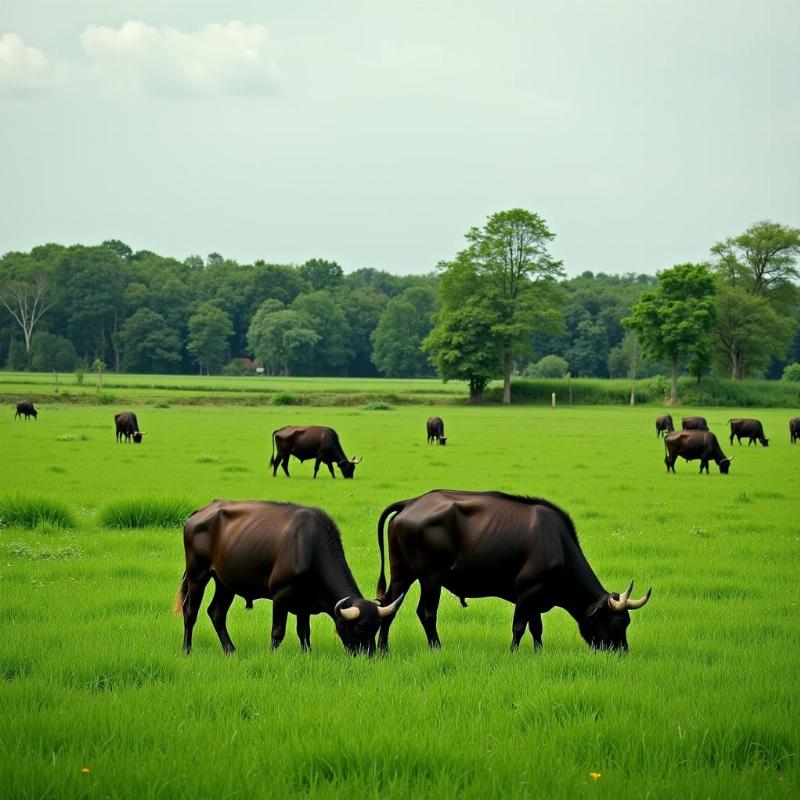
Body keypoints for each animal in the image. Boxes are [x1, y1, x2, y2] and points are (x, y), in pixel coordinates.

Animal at [173, 500, 400, 656]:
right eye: (361, 627)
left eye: (377, 627)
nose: (369, 656)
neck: (310, 547)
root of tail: (201, 512)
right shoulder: (281, 595)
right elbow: (278, 632)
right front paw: (272, 655)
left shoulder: (305, 602)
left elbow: (304, 632)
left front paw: (307, 654)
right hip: (197, 575)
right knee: (190, 613)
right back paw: (186, 649)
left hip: (225, 583)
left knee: (217, 613)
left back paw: (230, 650)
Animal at [376, 490, 648, 652]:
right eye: (618, 623)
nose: (622, 653)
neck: (557, 544)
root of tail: (412, 502)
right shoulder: (527, 592)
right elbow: (519, 626)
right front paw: (514, 653)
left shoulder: (537, 597)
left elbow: (536, 628)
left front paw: (539, 653)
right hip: (430, 578)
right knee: (426, 613)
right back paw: (436, 647)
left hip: (402, 574)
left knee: (389, 607)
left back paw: (383, 649)